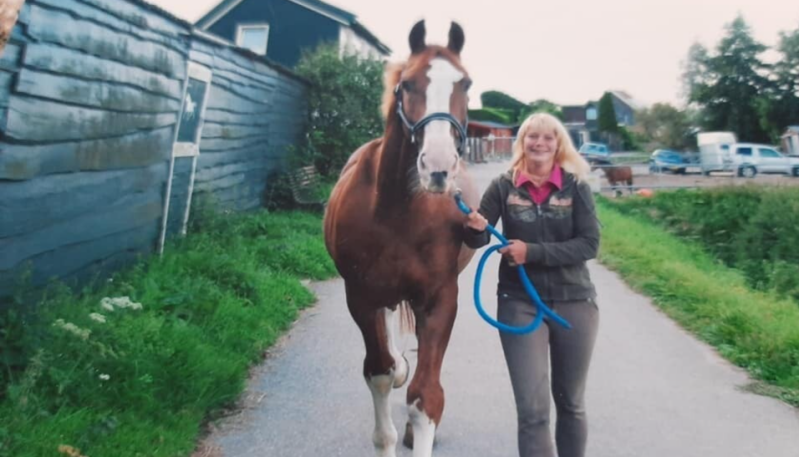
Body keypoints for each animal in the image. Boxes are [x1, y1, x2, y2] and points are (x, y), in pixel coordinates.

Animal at [323, 20, 478, 457]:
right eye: (407, 84)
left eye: (466, 83)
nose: (438, 167)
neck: (399, 211)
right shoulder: (360, 297)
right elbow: (379, 373)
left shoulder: (440, 299)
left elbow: (426, 397)